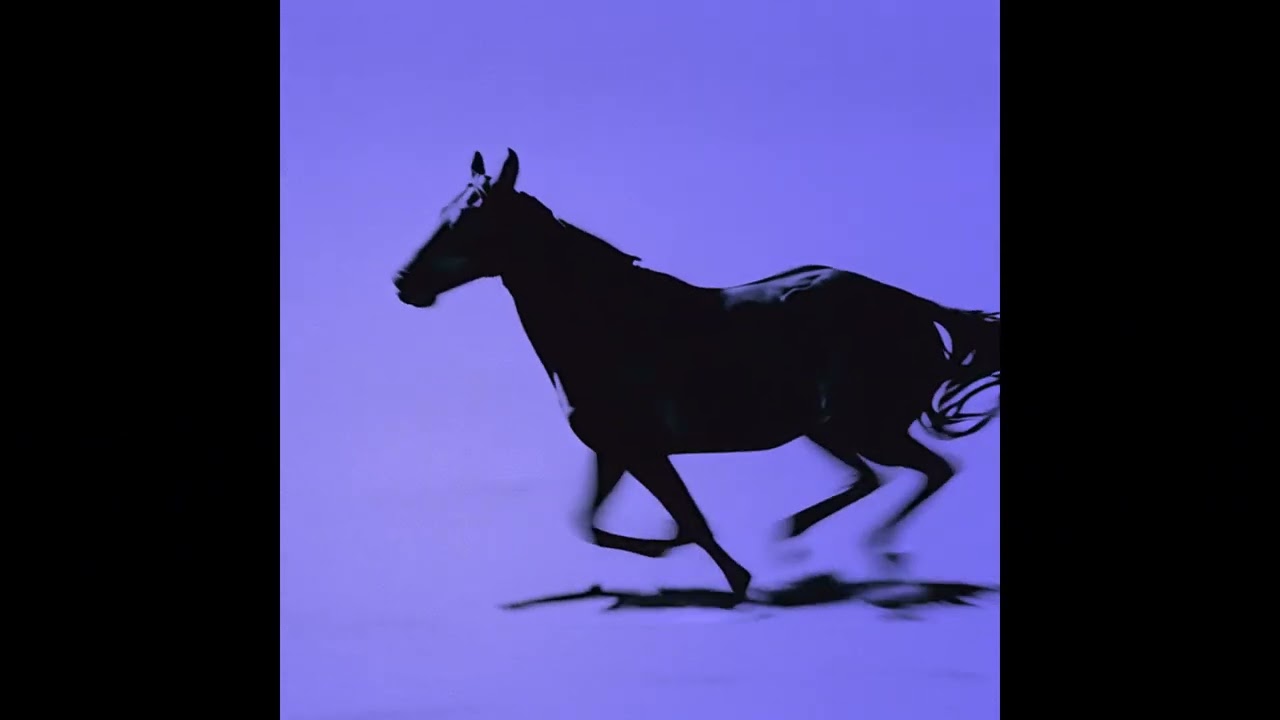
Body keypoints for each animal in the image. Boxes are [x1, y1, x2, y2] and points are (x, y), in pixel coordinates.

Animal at [393, 149, 1000, 603]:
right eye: (445, 209)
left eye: (472, 218)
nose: (404, 282)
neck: (607, 323)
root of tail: (912, 306)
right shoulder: (614, 451)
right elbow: (591, 524)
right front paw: (683, 555)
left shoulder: (642, 450)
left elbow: (685, 520)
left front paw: (733, 577)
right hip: (827, 428)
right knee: (876, 478)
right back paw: (803, 536)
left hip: (862, 427)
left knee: (931, 470)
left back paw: (880, 552)